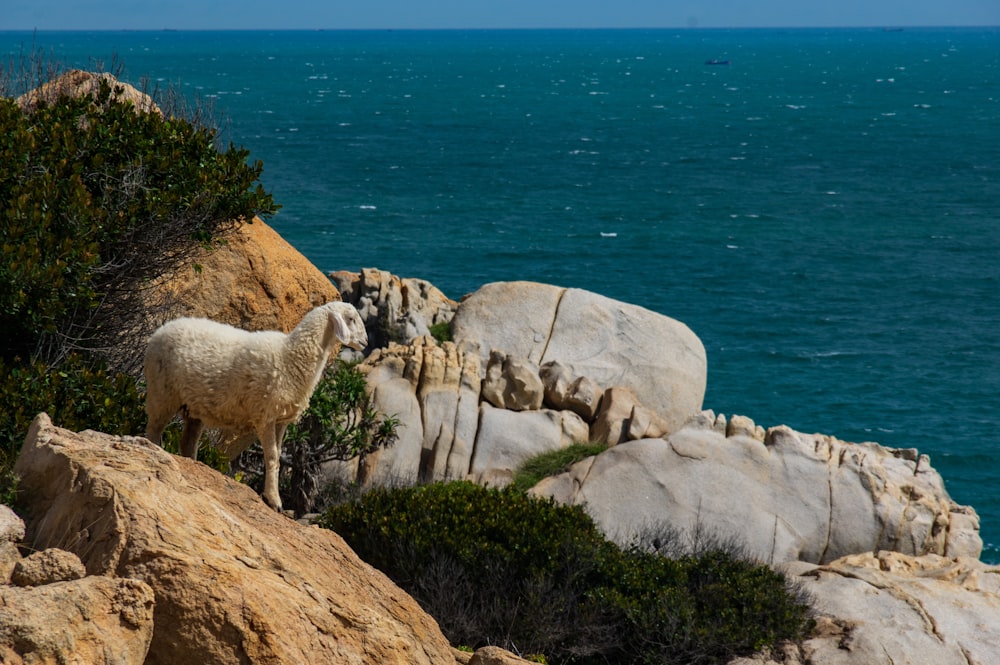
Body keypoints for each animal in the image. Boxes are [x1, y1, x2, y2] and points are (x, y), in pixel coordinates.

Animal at [145, 298, 368, 510]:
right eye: (351, 319)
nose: (365, 341)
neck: (291, 355)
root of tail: (161, 330)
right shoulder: (266, 416)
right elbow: (271, 457)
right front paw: (273, 500)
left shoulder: (281, 420)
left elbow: (278, 456)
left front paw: (272, 496)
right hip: (162, 393)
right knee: (153, 430)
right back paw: (155, 455)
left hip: (193, 407)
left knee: (187, 441)